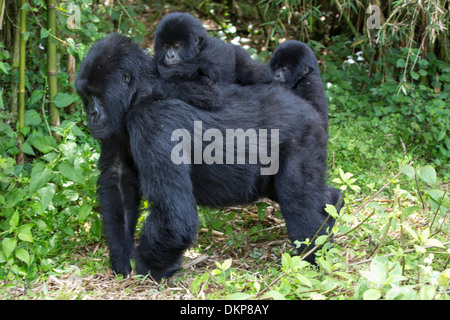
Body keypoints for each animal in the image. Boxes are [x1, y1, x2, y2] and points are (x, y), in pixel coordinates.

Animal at [75, 33, 340, 282]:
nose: (92, 115)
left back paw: (312, 256)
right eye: (86, 97)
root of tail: (308, 107)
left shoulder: (151, 119)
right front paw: (122, 259)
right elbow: (118, 182)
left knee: (296, 199)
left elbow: (175, 217)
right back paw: (332, 206)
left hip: (305, 134)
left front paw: (147, 267)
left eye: (98, 96)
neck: (137, 91)